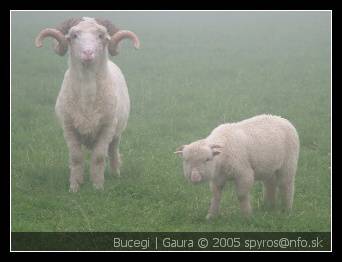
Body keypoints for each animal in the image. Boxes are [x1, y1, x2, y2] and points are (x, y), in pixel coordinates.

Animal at [35, 16, 140, 192]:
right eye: (74, 35)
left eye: (101, 36)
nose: (88, 53)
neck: (87, 98)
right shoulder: (69, 128)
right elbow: (76, 157)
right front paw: (75, 186)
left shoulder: (107, 128)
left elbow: (98, 157)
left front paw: (97, 186)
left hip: (117, 131)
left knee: (113, 151)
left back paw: (115, 173)